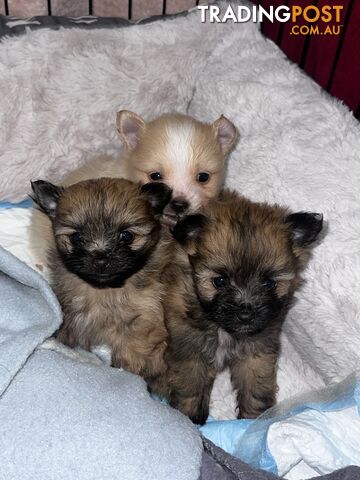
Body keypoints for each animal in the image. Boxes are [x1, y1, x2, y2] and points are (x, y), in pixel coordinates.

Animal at [30, 175, 172, 378]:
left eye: (127, 236)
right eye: (76, 238)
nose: (101, 258)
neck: (105, 290)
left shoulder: (145, 314)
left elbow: (136, 344)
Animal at [149, 191, 324, 424]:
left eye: (269, 283)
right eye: (220, 281)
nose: (246, 313)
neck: (222, 328)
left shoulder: (256, 352)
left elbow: (255, 387)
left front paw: (253, 420)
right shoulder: (189, 350)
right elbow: (190, 386)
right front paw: (188, 418)